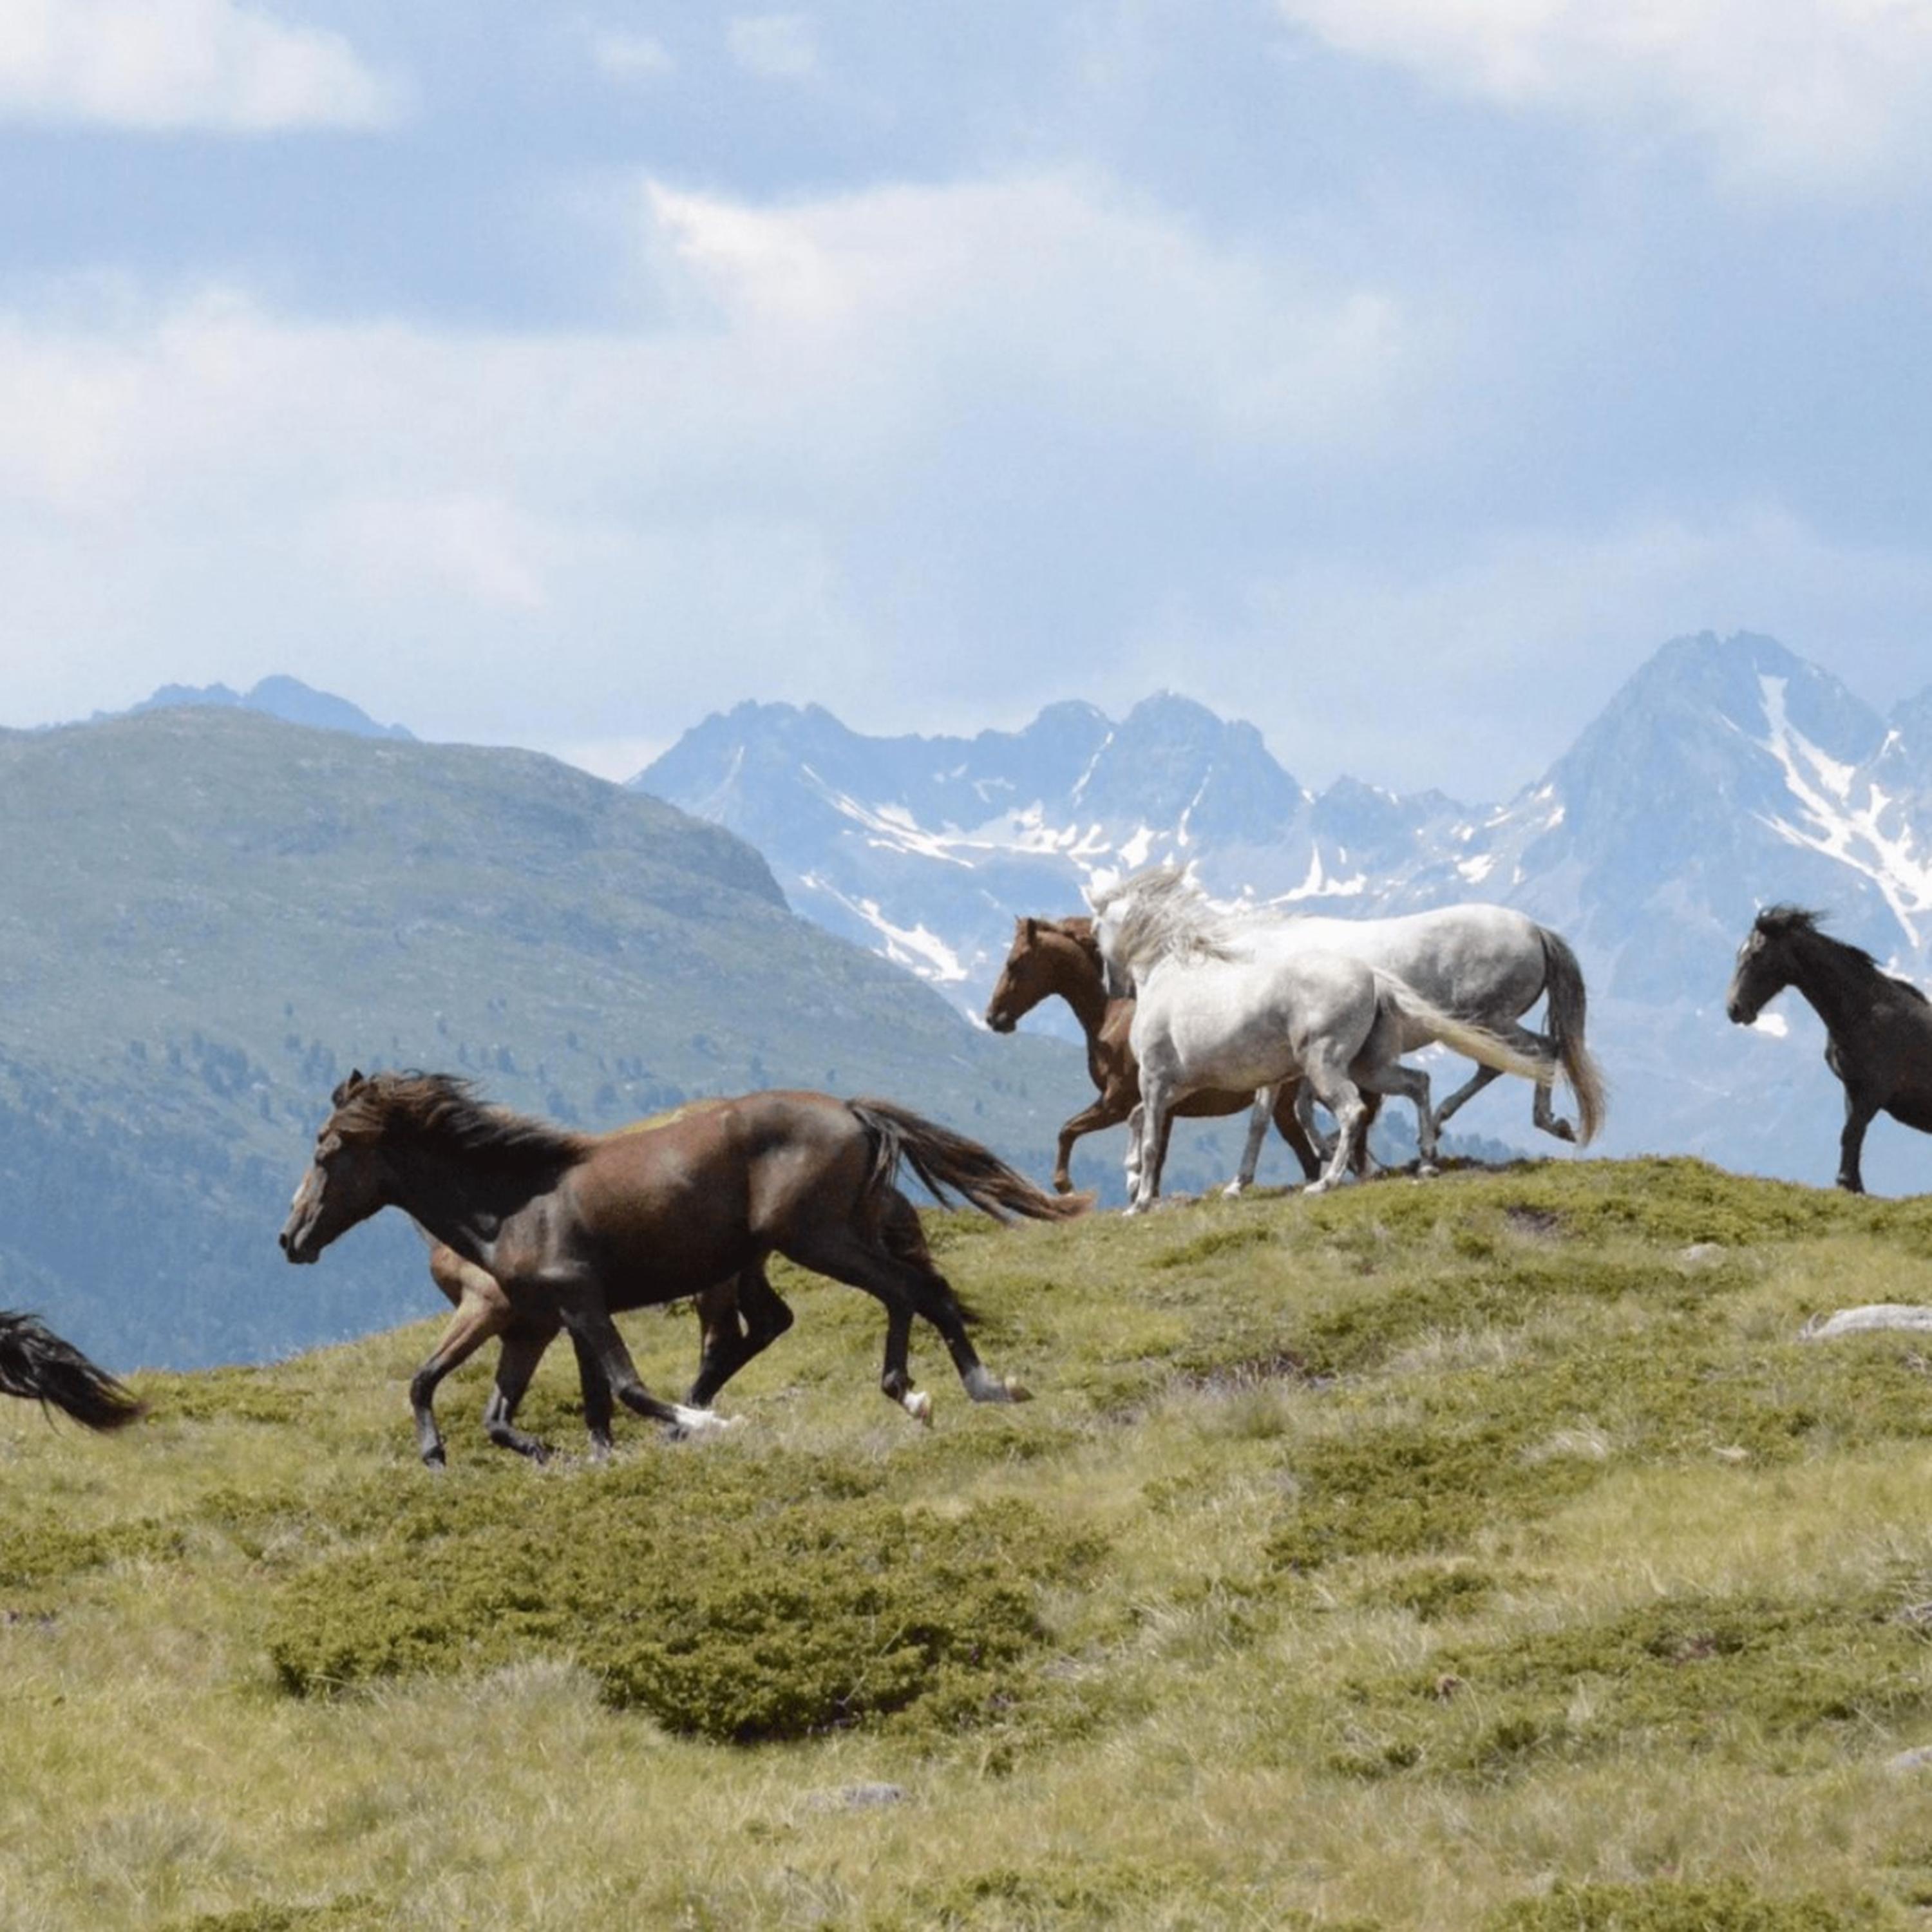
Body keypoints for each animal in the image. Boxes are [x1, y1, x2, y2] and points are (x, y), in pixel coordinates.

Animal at [281, 1073, 1086, 1461]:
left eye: (326, 1150)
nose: (291, 1238)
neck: (512, 1203)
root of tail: (855, 1113)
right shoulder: (538, 1322)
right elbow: (519, 1412)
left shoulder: (575, 1303)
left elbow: (627, 1389)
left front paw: (710, 1424)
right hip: (806, 1245)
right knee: (923, 1291)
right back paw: (988, 1387)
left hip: (816, 1239)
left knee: (903, 1291)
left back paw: (920, 1393)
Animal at [983, 914, 1372, 1193]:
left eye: (1015, 963)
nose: (994, 1018)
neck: (1110, 1023)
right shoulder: (1156, 1106)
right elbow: (1151, 1153)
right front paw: (1140, 1192)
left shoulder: (1117, 1103)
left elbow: (1069, 1130)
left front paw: (1066, 1183)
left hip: (1286, 1104)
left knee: (1319, 1144)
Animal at [1090, 874, 1549, 1211]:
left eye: (1097, 930)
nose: (1112, 987)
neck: (1168, 971)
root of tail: (1372, 975)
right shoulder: (1186, 1083)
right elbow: (1141, 1119)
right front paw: (1136, 1175)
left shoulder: (1157, 1078)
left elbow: (1153, 1137)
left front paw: (1140, 1199)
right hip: (1370, 1065)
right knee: (1420, 1083)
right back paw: (1426, 1160)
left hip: (1334, 1063)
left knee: (1354, 1109)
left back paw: (1328, 1181)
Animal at [1725, 904, 1932, 1194]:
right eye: (1739, 953)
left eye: (1756, 954)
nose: (1734, 1009)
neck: (1865, 1011)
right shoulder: (1852, 1089)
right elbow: (1851, 1134)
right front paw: (1853, 1185)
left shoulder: (1873, 1091)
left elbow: (1852, 1133)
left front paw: (1847, 1183)